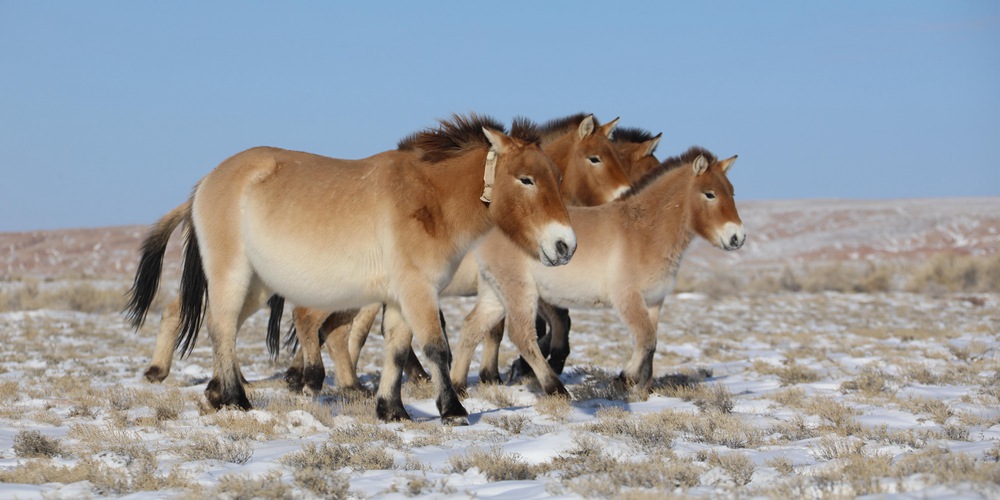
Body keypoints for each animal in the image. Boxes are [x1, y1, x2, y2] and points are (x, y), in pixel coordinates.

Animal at [126, 114, 580, 422]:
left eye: (558, 178)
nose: (565, 245)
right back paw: (236, 400)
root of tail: (206, 181)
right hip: (231, 275)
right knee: (220, 329)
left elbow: (397, 350)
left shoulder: (399, 296)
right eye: (525, 179)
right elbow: (436, 347)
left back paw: (217, 394)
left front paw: (391, 410)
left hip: (257, 284)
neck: (429, 199)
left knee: (225, 327)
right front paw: (452, 409)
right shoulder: (418, 289)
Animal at [282, 112, 628, 394]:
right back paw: (319, 379)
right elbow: (539, 326)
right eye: (595, 158)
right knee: (318, 322)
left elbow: (493, 329)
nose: (565, 245)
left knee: (338, 330)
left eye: (557, 177)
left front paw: (486, 375)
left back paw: (344, 383)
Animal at [450, 146, 748, 396]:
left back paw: (458, 386)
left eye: (732, 192)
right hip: (520, 292)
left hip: (496, 294)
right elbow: (645, 339)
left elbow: (652, 343)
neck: (644, 231)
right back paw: (555, 389)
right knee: (522, 336)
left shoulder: (655, 300)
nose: (737, 237)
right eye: (709, 194)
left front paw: (645, 386)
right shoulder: (627, 298)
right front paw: (624, 379)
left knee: (472, 328)